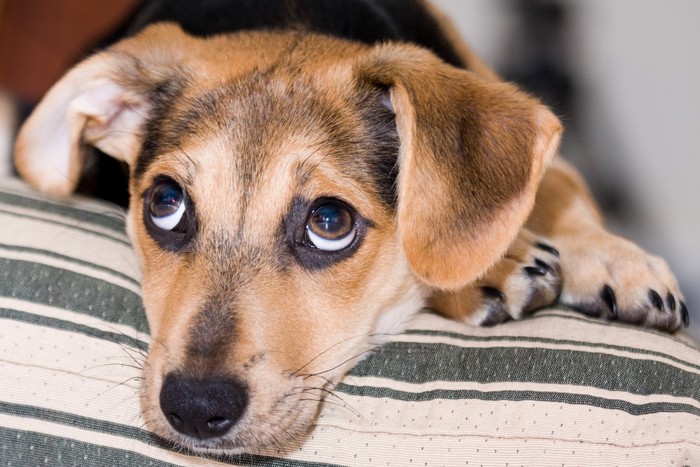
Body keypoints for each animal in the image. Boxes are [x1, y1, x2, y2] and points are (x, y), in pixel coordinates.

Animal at [12, 0, 688, 454]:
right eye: (165, 202)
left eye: (329, 221)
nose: (195, 409)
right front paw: (493, 269)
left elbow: (560, 187)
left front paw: (614, 260)